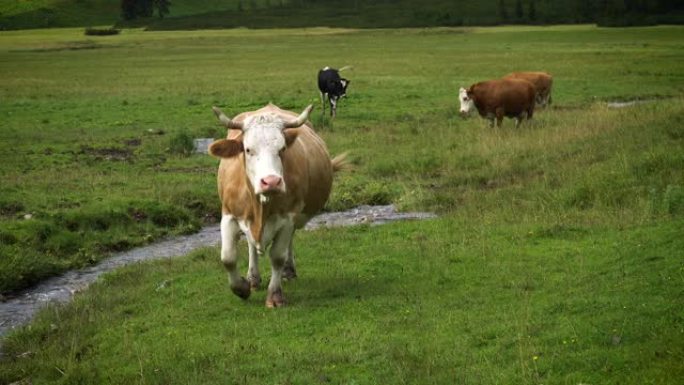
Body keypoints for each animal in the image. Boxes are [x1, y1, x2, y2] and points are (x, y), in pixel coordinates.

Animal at [208, 102, 348, 306]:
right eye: (248, 149)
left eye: (281, 149)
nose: (272, 181)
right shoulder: (228, 214)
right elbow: (228, 257)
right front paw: (241, 288)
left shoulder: (288, 217)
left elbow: (277, 257)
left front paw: (274, 295)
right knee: (251, 245)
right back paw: (253, 278)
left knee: (288, 242)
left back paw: (288, 271)